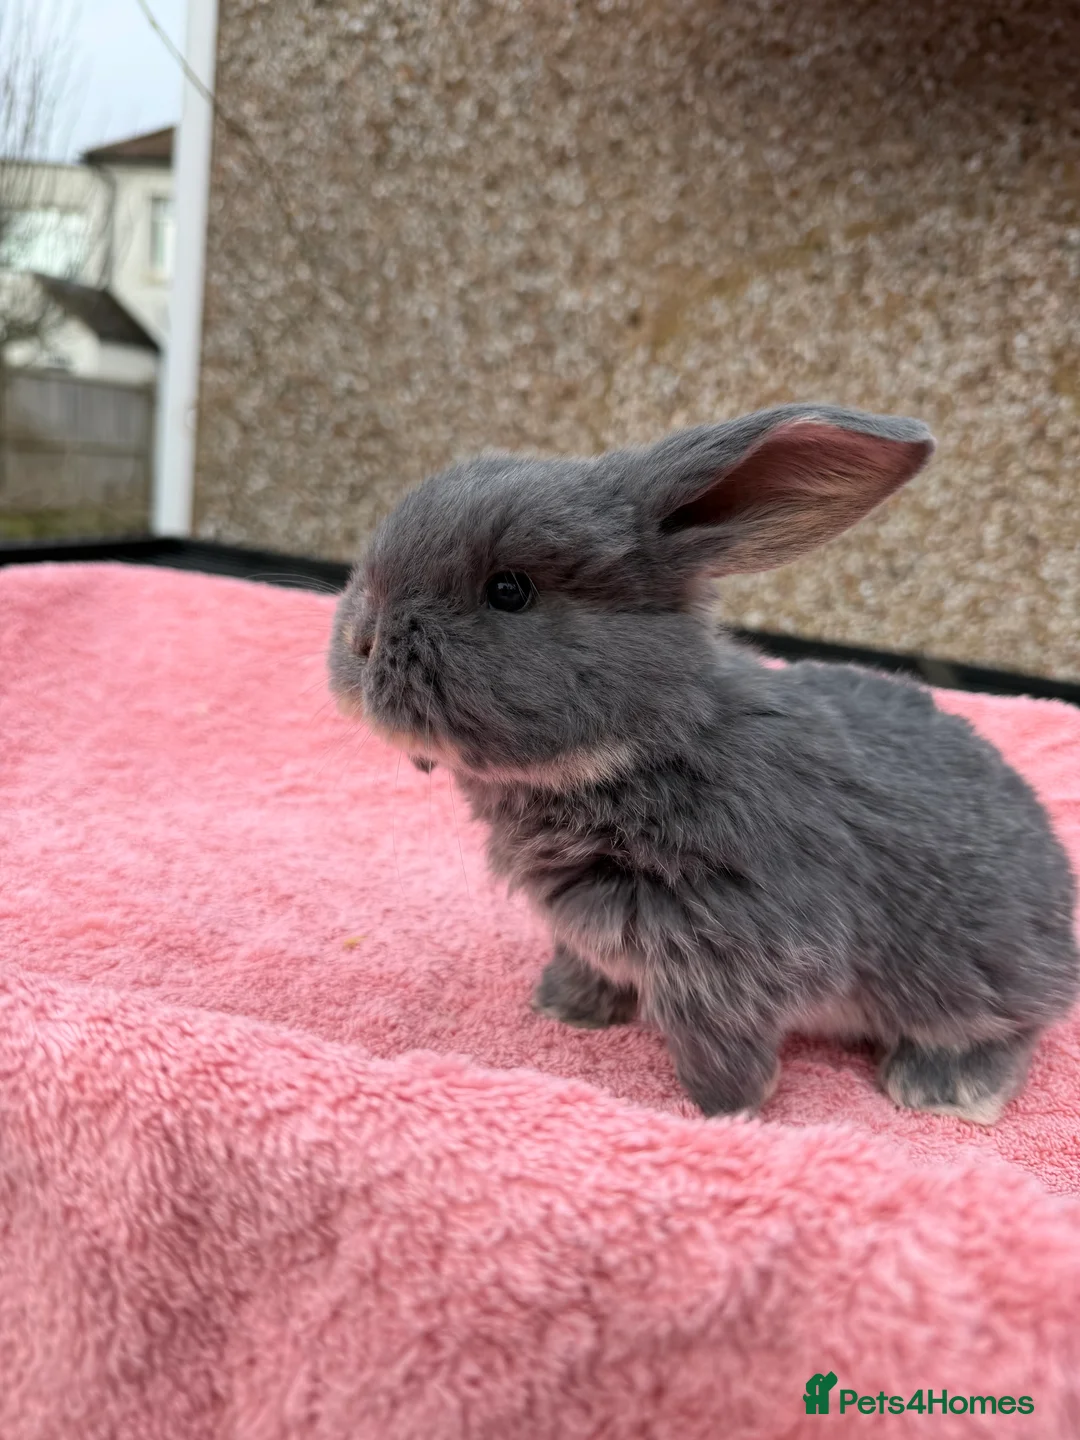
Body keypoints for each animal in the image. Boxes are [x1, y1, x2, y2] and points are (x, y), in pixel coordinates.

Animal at [328, 404, 1079, 1124]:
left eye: (510, 590)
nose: (361, 640)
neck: (650, 747)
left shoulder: (730, 962)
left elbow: (721, 1052)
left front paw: (724, 1114)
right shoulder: (589, 935)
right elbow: (585, 967)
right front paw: (564, 1009)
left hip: (968, 975)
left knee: (1003, 1030)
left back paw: (944, 1092)